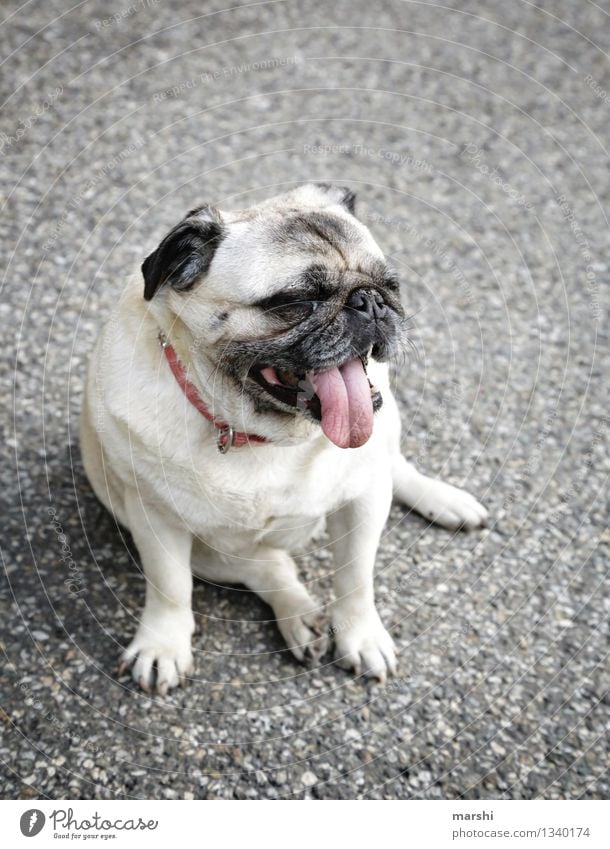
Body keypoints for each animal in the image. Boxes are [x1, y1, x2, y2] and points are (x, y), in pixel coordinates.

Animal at [81, 182, 486, 692]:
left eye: (391, 285)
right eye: (297, 300)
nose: (369, 302)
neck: (265, 435)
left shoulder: (363, 502)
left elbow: (356, 578)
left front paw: (361, 636)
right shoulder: (155, 520)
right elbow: (170, 588)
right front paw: (162, 646)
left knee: (393, 466)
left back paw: (445, 500)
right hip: (204, 548)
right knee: (268, 566)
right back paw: (298, 615)